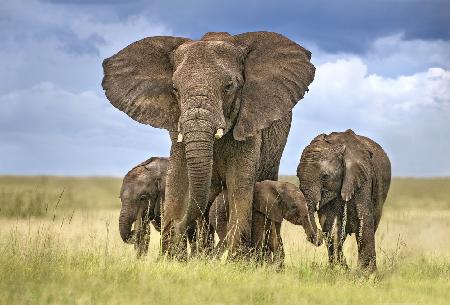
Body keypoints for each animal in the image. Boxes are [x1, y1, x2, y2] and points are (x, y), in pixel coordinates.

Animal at [102, 30, 314, 258]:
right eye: (175, 88)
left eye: (229, 87)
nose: (178, 226)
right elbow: (178, 179)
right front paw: (170, 258)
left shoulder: (249, 125)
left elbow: (239, 186)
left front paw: (236, 261)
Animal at [298, 128, 388, 270]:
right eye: (297, 176)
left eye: (325, 177)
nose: (317, 237)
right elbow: (331, 225)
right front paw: (340, 270)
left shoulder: (363, 176)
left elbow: (364, 219)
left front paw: (366, 273)